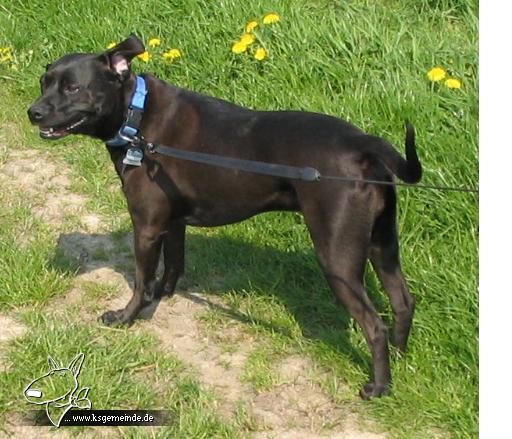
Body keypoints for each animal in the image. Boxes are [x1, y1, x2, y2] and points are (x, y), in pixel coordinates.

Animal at [27, 35, 420, 398]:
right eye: (43, 82)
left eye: (72, 87)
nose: (33, 112)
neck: (135, 117)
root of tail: (362, 144)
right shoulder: (172, 223)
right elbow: (174, 263)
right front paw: (163, 295)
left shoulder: (147, 227)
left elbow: (141, 279)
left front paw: (127, 317)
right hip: (383, 244)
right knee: (403, 301)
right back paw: (400, 358)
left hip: (338, 257)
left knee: (373, 324)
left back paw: (378, 387)